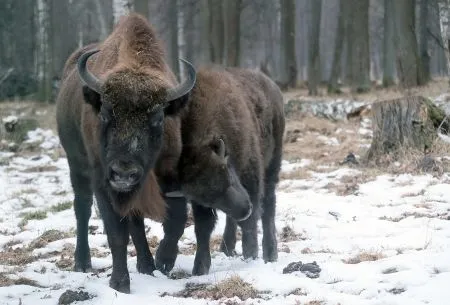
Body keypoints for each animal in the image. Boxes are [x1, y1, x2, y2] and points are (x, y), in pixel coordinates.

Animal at [55, 14, 196, 292]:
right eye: (105, 113)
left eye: (157, 118)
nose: (124, 172)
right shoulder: (103, 183)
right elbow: (116, 233)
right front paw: (120, 283)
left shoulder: (170, 173)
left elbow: (175, 220)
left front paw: (163, 261)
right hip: (76, 166)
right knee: (82, 209)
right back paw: (82, 262)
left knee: (136, 221)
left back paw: (147, 265)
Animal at [156, 66, 284, 276]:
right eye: (209, 200)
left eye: (229, 175)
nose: (245, 209)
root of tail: (272, 85)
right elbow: (203, 227)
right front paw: (200, 267)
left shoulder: (251, 174)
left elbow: (252, 219)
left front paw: (251, 254)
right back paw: (228, 247)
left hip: (273, 164)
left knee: (269, 205)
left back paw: (270, 252)